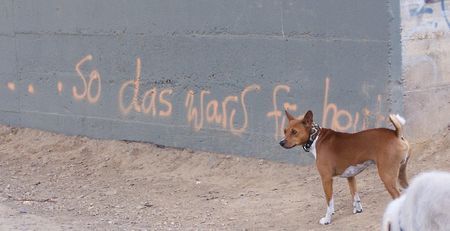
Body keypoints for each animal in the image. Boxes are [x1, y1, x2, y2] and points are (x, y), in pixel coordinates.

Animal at [282, 110, 412, 224]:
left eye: (294, 132)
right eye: (285, 131)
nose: (281, 142)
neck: (315, 138)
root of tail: (396, 133)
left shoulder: (326, 179)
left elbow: (329, 203)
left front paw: (327, 219)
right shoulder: (351, 176)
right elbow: (355, 195)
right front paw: (358, 210)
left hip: (387, 177)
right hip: (401, 174)